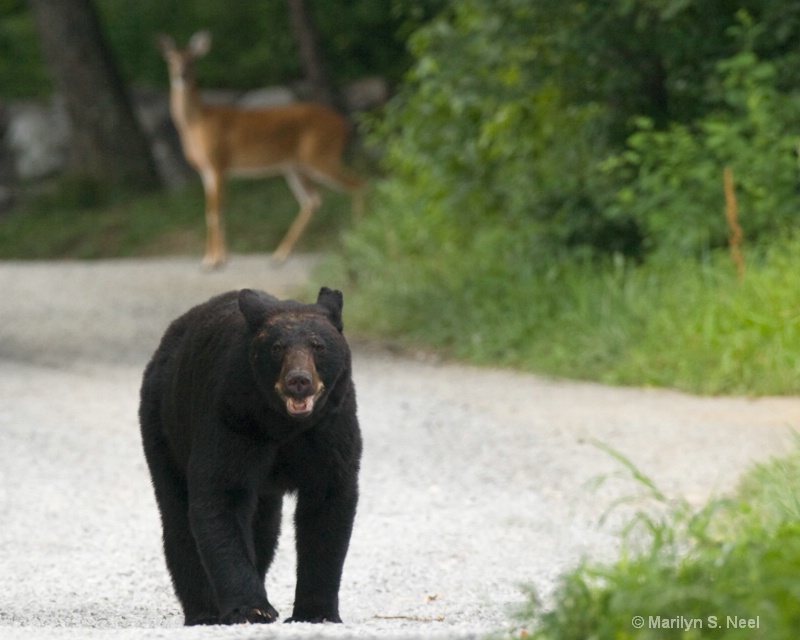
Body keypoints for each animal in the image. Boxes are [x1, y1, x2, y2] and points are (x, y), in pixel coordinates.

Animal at [139, 286, 360, 624]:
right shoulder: (233, 418)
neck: (284, 426)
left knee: (264, 527)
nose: (299, 380)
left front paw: (316, 612)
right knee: (177, 518)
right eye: (277, 347)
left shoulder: (332, 428)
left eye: (318, 346)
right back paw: (203, 611)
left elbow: (328, 504)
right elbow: (221, 496)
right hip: (164, 426)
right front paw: (251, 608)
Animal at [158, 31, 364, 268]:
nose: (181, 75)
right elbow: (211, 211)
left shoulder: (218, 162)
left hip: (320, 155)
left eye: (192, 60)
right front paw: (215, 257)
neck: (197, 123)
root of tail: (345, 124)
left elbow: (215, 212)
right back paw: (280, 255)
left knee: (357, 184)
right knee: (313, 200)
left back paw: (358, 236)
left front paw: (214, 260)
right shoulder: (206, 170)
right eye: (170, 59)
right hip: (295, 166)